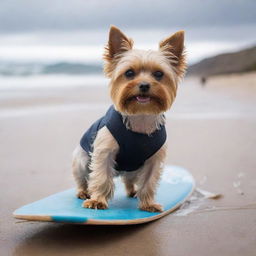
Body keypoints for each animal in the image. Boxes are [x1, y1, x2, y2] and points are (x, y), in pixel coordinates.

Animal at [72, 25, 186, 212]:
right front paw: (97, 200)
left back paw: (132, 191)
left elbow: (148, 182)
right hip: (81, 160)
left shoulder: (154, 160)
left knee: (129, 180)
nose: (144, 85)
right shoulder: (104, 152)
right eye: (129, 73)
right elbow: (101, 177)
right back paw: (83, 192)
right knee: (82, 177)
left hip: (133, 170)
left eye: (158, 74)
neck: (140, 115)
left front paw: (148, 204)